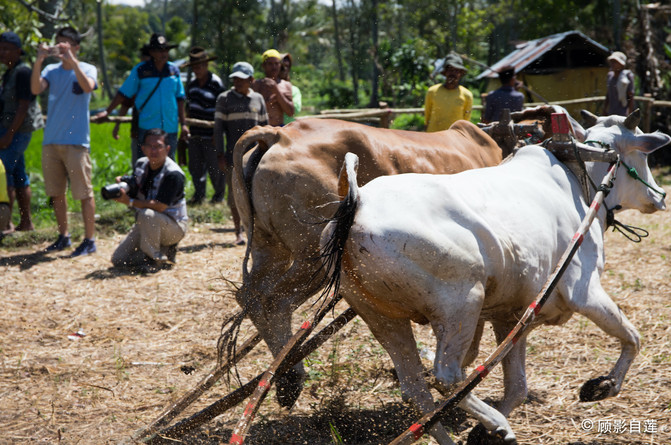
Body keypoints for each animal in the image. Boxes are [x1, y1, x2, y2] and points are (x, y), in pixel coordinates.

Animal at [228, 117, 502, 406]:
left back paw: (283, 382)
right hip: (312, 258)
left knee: (250, 296)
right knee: (273, 301)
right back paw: (291, 377)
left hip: (268, 248)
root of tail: (278, 134)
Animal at [322, 109, 671, 442]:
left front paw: (479, 433)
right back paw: (498, 423)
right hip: (461, 303)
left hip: (380, 316)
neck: (580, 179)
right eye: (642, 155)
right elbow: (632, 337)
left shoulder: (511, 317)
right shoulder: (584, 292)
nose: (660, 196)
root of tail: (360, 202)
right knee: (447, 377)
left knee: (416, 388)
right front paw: (603, 385)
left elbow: (517, 387)